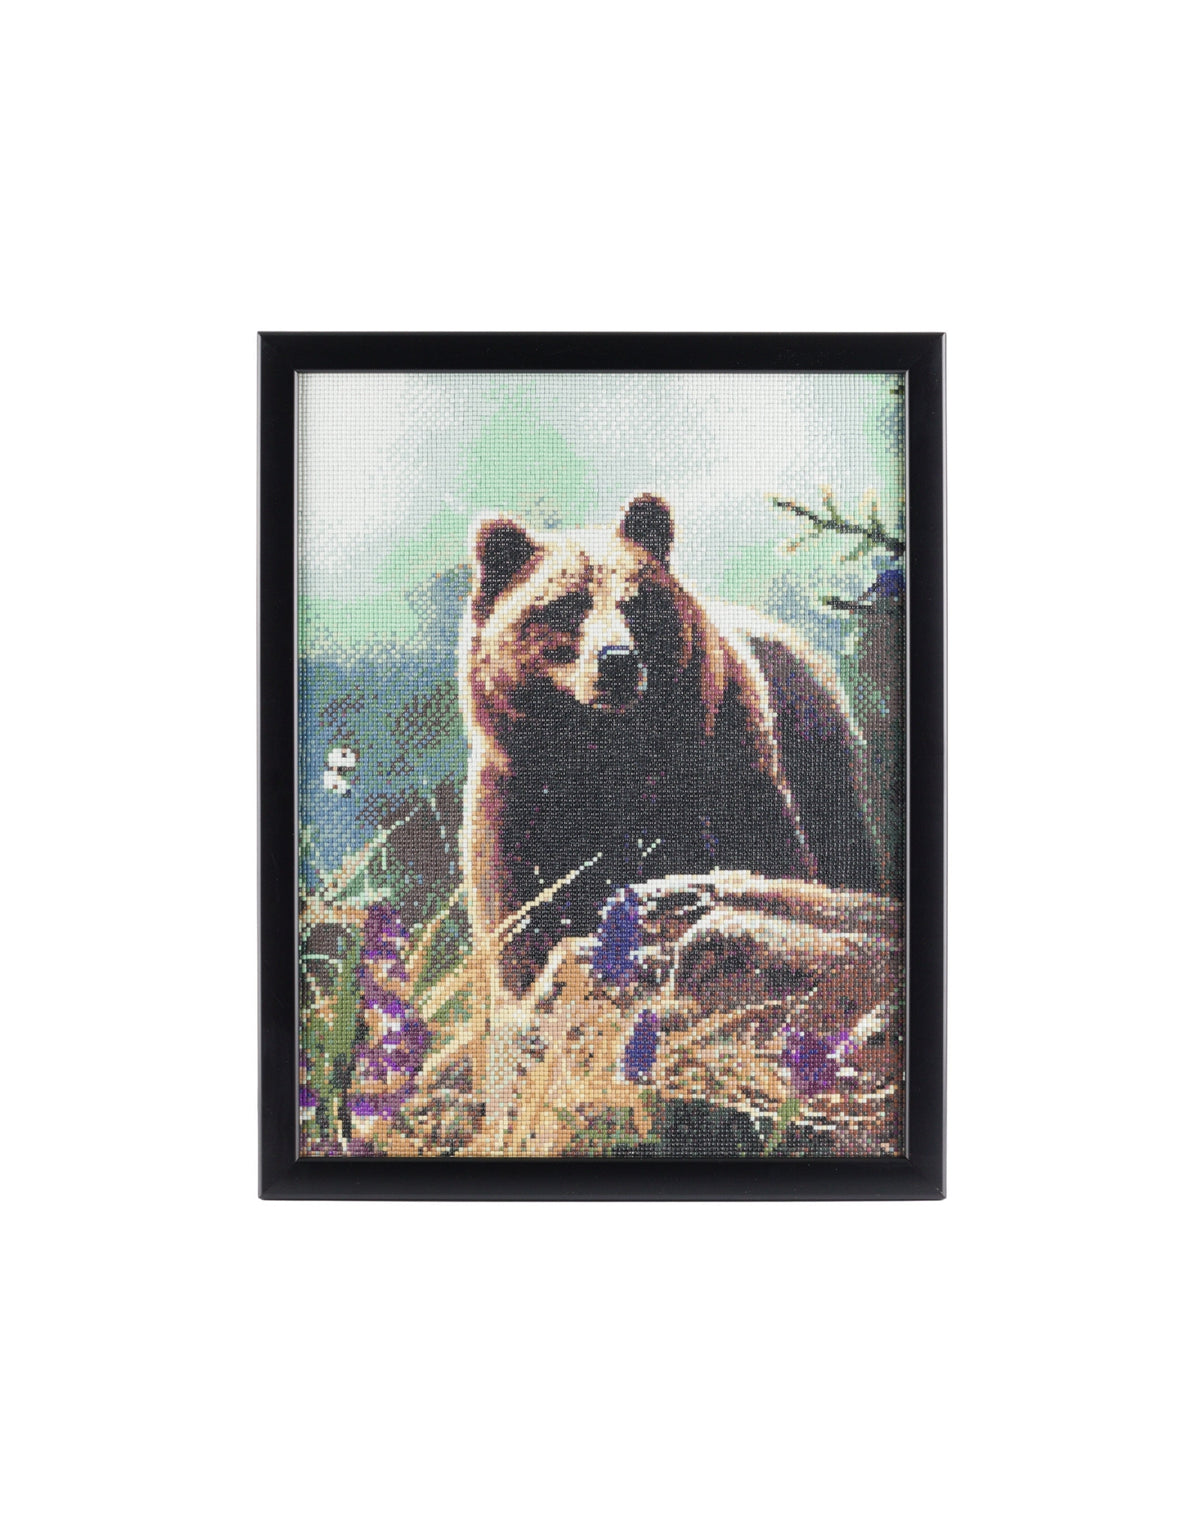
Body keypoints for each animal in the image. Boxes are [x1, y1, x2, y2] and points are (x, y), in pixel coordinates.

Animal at [459, 493, 881, 998]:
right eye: (566, 605)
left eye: (636, 601)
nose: (617, 661)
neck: (606, 752)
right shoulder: (520, 806)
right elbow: (522, 931)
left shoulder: (719, 762)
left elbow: (763, 855)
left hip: (817, 748)